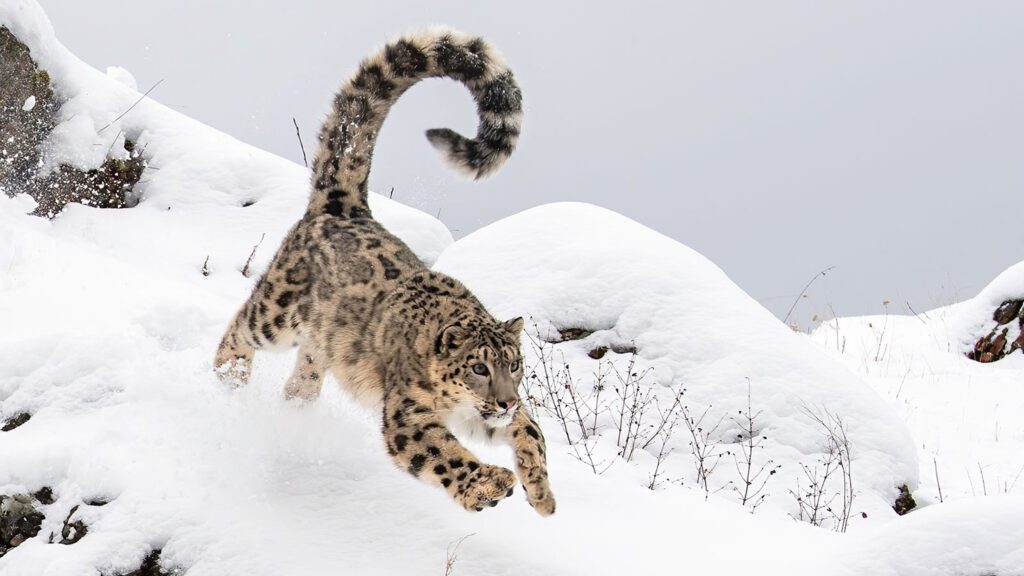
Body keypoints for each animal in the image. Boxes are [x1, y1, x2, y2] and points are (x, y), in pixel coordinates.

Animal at [213, 28, 555, 516]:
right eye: (478, 367)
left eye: (515, 364)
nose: (505, 399)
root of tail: (346, 208)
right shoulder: (409, 413)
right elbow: (443, 454)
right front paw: (489, 485)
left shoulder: (489, 416)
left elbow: (532, 431)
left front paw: (542, 493)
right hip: (278, 311)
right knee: (242, 324)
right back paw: (229, 378)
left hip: (318, 349)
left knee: (301, 380)